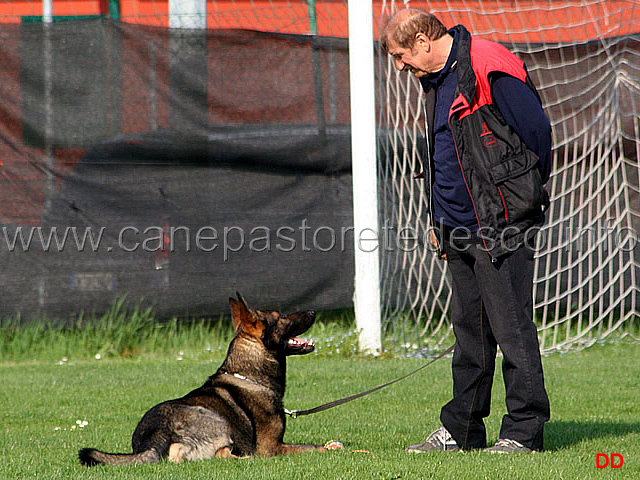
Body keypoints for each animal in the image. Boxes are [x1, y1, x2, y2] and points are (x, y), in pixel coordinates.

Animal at [79, 292, 324, 464]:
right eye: (281, 317)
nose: (314, 311)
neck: (250, 375)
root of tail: (156, 434)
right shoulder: (272, 447)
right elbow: (313, 446)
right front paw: (327, 448)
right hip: (218, 421)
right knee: (210, 454)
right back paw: (246, 458)